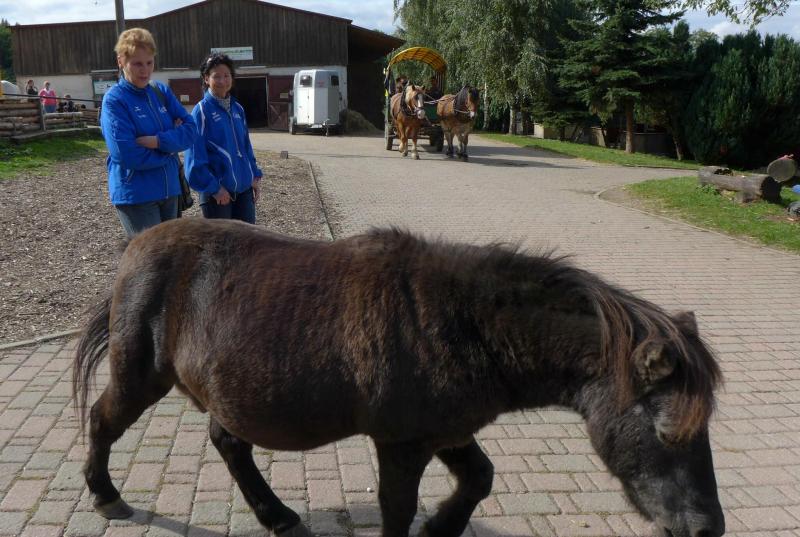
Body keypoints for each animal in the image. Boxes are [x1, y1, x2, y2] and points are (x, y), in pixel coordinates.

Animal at [73, 218, 725, 537]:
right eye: (666, 432)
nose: (706, 529)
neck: (462, 321)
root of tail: (136, 245)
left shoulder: (447, 433)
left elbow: (480, 479)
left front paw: (442, 526)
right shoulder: (403, 443)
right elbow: (395, 508)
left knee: (228, 442)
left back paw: (278, 515)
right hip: (139, 376)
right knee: (103, 421)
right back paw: (106, 496)